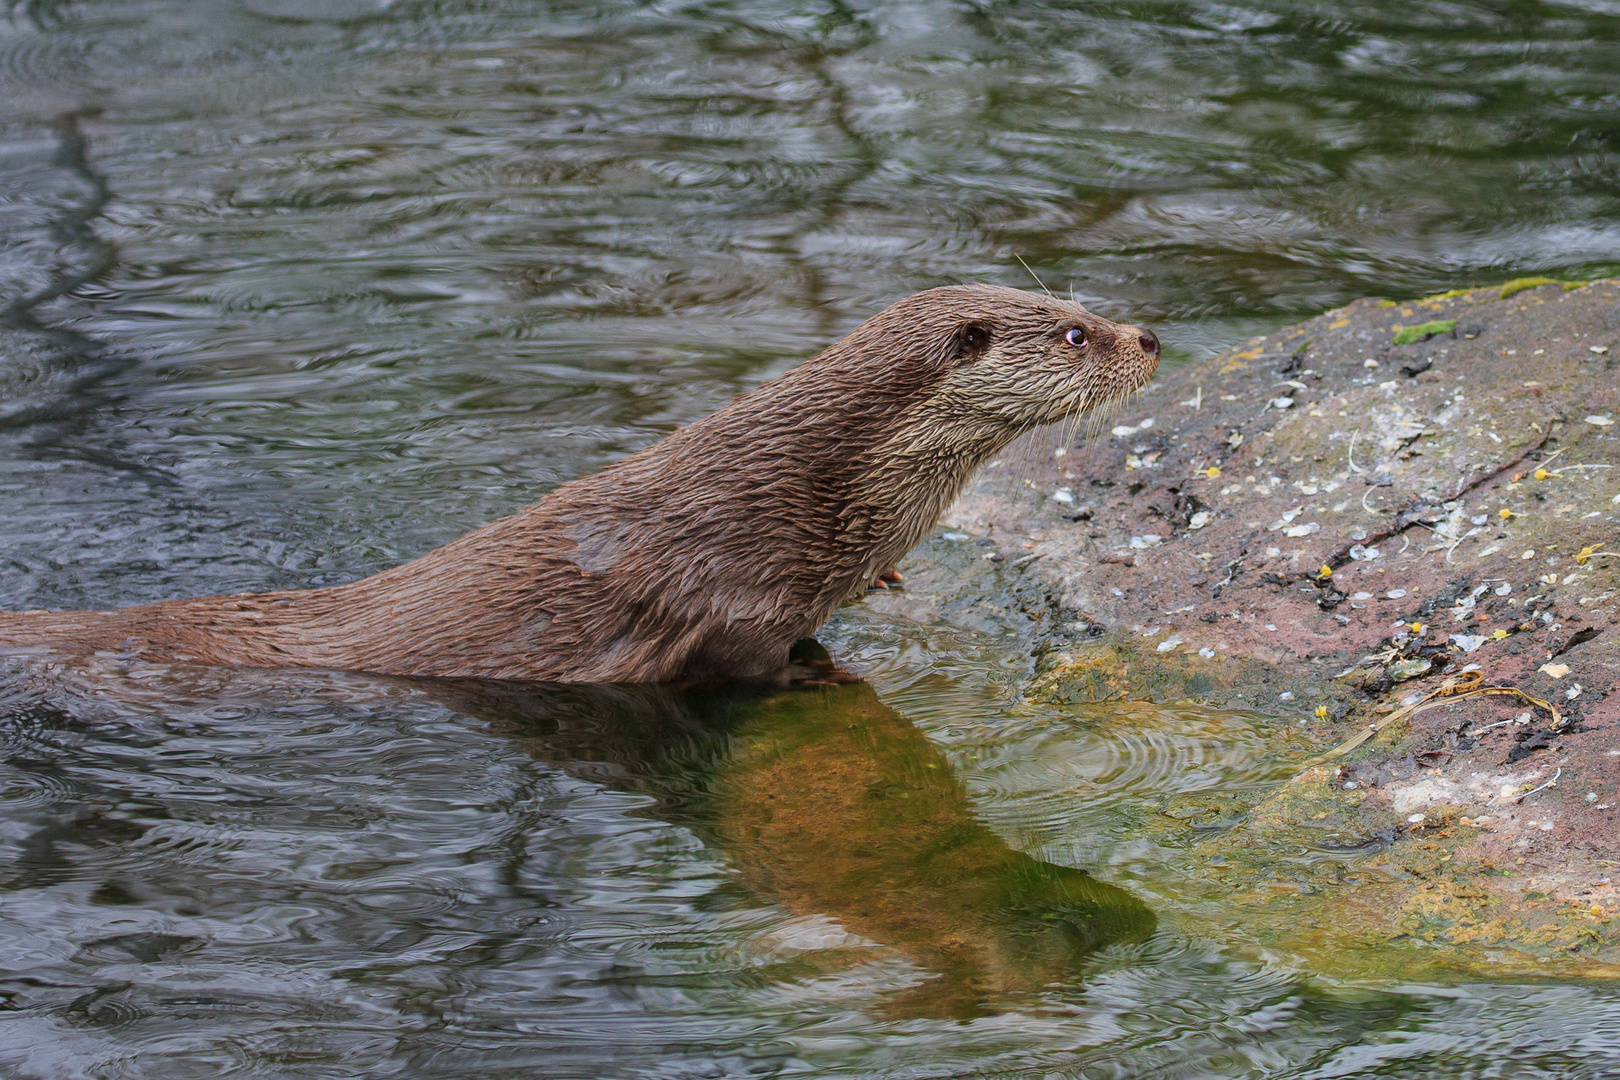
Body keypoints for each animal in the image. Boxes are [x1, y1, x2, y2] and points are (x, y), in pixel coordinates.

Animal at [3, 283, 1166, 680]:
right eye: (1075, 333)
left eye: (1086, 303)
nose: (1151, 334)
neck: (808, 489)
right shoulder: (730, 593)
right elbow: (747, 663)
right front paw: (816, 678)